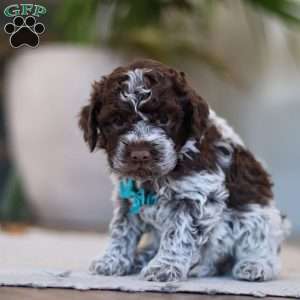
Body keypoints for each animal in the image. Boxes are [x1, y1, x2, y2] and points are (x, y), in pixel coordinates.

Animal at [78, 58, 290, 282]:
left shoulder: (194, 197)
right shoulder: (128, 198)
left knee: (261, 244)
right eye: (117, 121)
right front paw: (111, 260)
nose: (140, 154)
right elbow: (121, 230)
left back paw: (256, 265)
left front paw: (163, 267)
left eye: (164, 119)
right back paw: (144, 256)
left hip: (258, 216)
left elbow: (177, 233)